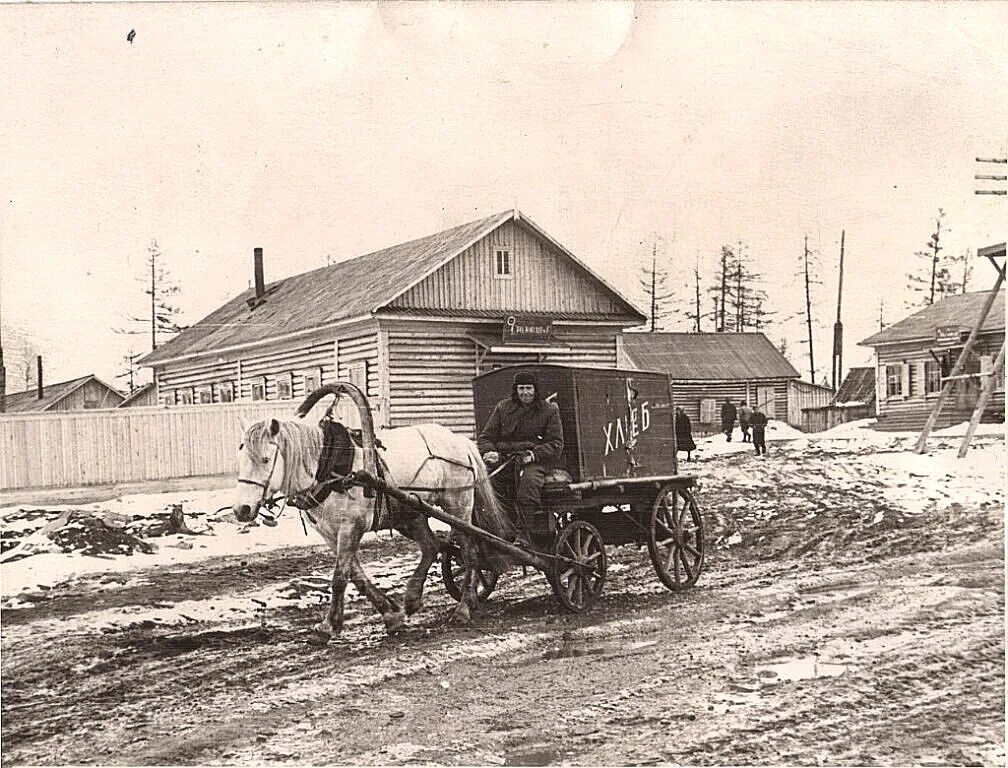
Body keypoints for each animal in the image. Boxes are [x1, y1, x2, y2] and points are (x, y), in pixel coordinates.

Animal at [229, 415, 512, 645]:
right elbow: (356, 576)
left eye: (266, 459)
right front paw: (391, 614)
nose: (241, 509)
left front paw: (327, 627)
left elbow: (339, 578)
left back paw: (463, 606)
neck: (330, 469)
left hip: (457, 505)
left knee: (469, 551)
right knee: (431, 547)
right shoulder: (330, 533)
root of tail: (459, 440)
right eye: (240, 459)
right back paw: (415, 598)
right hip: (410, 512)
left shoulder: (350, 527)